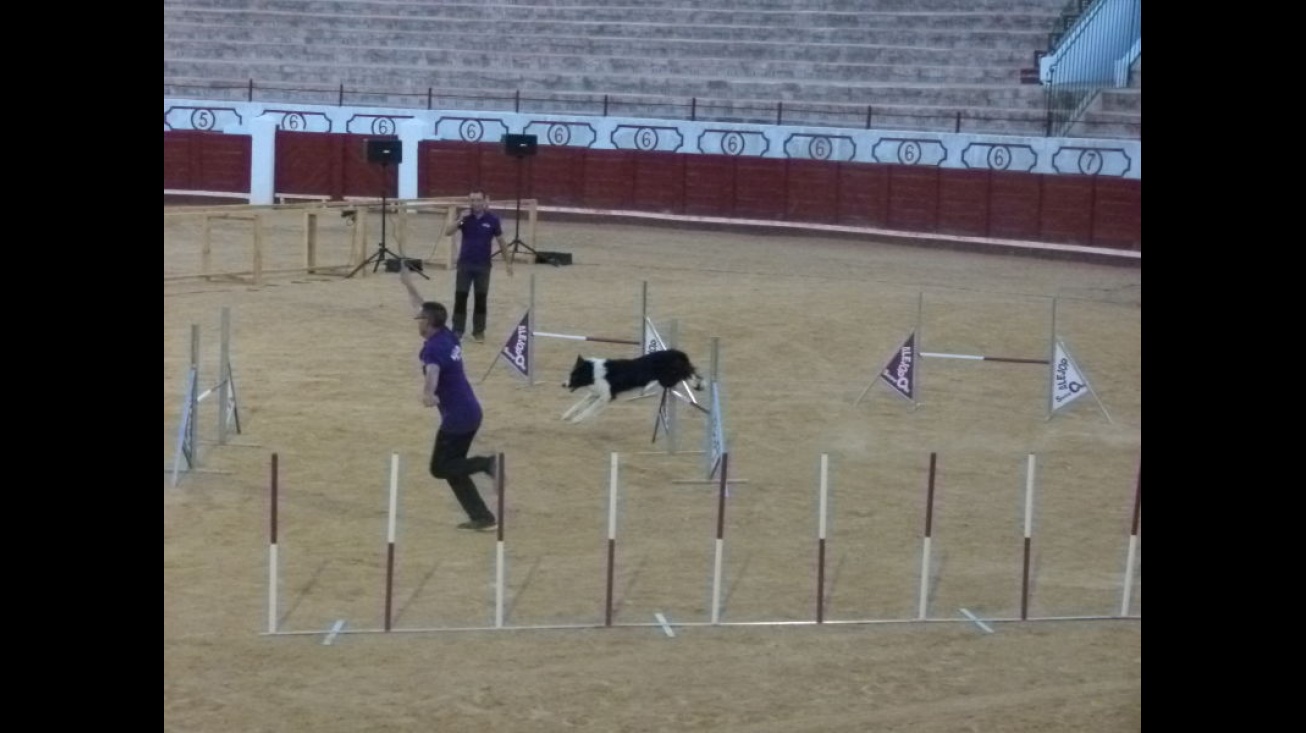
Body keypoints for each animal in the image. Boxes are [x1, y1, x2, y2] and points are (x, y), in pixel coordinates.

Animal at [561, 347, 705, 423]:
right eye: (570, 374)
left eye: (574, 376)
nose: (563, 384)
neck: (593, 372)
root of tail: (676, 352)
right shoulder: (596, 394)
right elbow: (579, 404)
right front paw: (567, 415)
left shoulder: (607, 396)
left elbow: (590, 409)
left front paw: (577, 419)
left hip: (668, 377)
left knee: (687, 373)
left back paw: (698, 384)